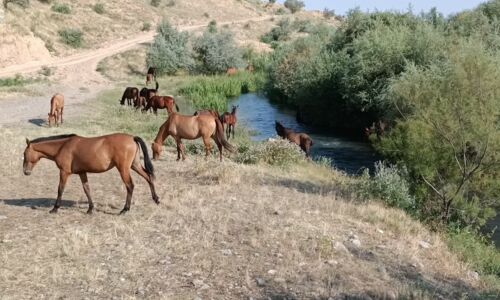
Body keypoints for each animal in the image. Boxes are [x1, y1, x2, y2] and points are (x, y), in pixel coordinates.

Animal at [22, 133, 159, 213]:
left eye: (24, 153)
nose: (25, 172)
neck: (62, 146)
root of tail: (132, 138)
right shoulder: (82, 172)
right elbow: (87, 189)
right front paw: (90, 209)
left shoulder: (64, 172)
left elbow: (60, 189)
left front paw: (55, 208)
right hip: (135, 165)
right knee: (149, 177)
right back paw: (156, 199)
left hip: (123, 169)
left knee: (130, 186)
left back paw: (125, 209)